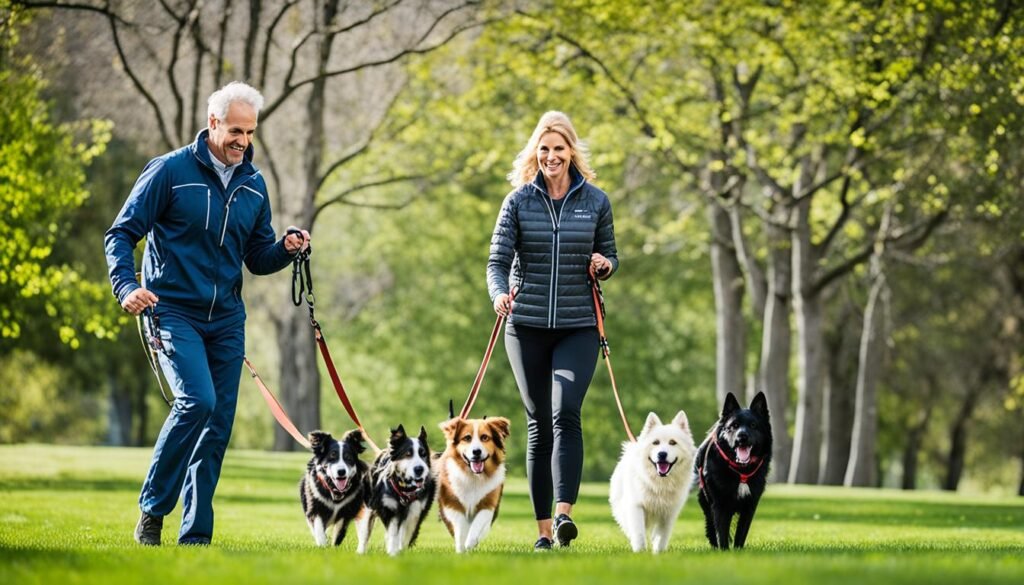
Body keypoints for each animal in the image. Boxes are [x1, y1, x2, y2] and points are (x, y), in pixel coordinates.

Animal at [606, 411, 696, 553]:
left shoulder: (668, 513)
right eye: (656, 442)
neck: (660, 484)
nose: (662, 454)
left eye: (672, 442)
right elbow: (639, 532)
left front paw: (658, 552)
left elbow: (662, 535)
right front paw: (640, 551)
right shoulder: (636, 506)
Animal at [692, 393, 770, 549]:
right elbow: (721, 531)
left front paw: (737, 551)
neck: (741, 470)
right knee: (711, 526)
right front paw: (724, 550)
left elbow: (741, 532)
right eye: (734, 426)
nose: (742, 437)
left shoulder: (750, 506)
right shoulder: (720, 504)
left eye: (753, 425)